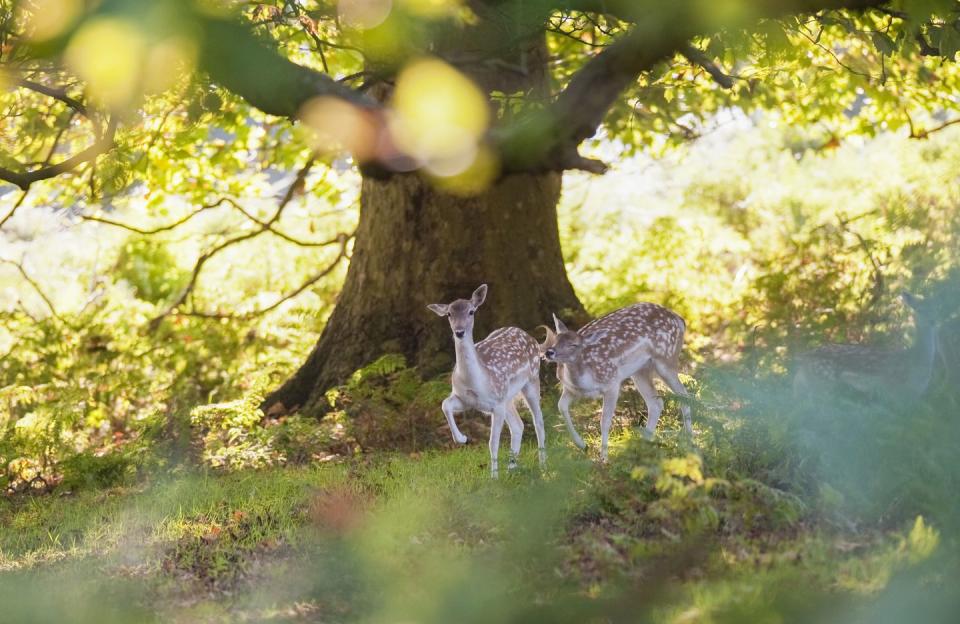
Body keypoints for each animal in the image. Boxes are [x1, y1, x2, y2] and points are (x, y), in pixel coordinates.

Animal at [430, 284, 548, 478]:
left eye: (471, 311)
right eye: (448, 314)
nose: (459, 332)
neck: (475, 381)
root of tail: (534, 341)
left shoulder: (497, 404)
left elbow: (493, 443)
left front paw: (493, 478)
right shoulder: (465, 400)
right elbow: (444, 404)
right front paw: (462, 438)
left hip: (531, 380)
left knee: (538, 421)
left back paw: (542, 466)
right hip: (507, 397)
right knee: (518, 425)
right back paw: (511, 468)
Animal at [540, 304, 688, 460]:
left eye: (573, 345)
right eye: (556, 339)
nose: (549, 352)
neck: (583, 381)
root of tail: (680, 320)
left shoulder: (612, 382)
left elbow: (604, 421)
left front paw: (604, 457)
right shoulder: (570, 389)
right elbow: (561, 407)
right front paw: (582, 445)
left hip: (666, 359)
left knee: (684, 395)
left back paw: (688, 439)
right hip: (640, 371)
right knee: (656, 403)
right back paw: (643, 445)